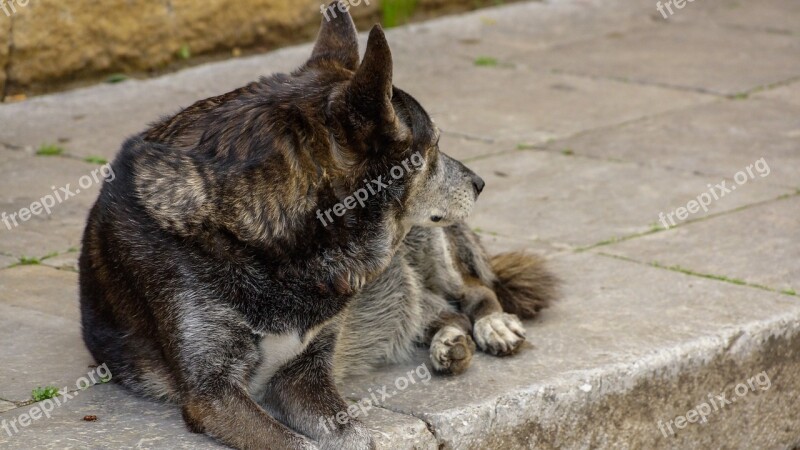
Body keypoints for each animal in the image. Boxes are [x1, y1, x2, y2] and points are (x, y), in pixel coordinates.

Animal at [79, 7, 556, 450]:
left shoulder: (305, 377)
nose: (480, 182)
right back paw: (450, 341)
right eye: (435, 145)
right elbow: (297, 441)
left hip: (427, 242)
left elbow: (357, 436)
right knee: (439, 310)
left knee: (472, 290)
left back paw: (492, 325)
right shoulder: (213, 394)